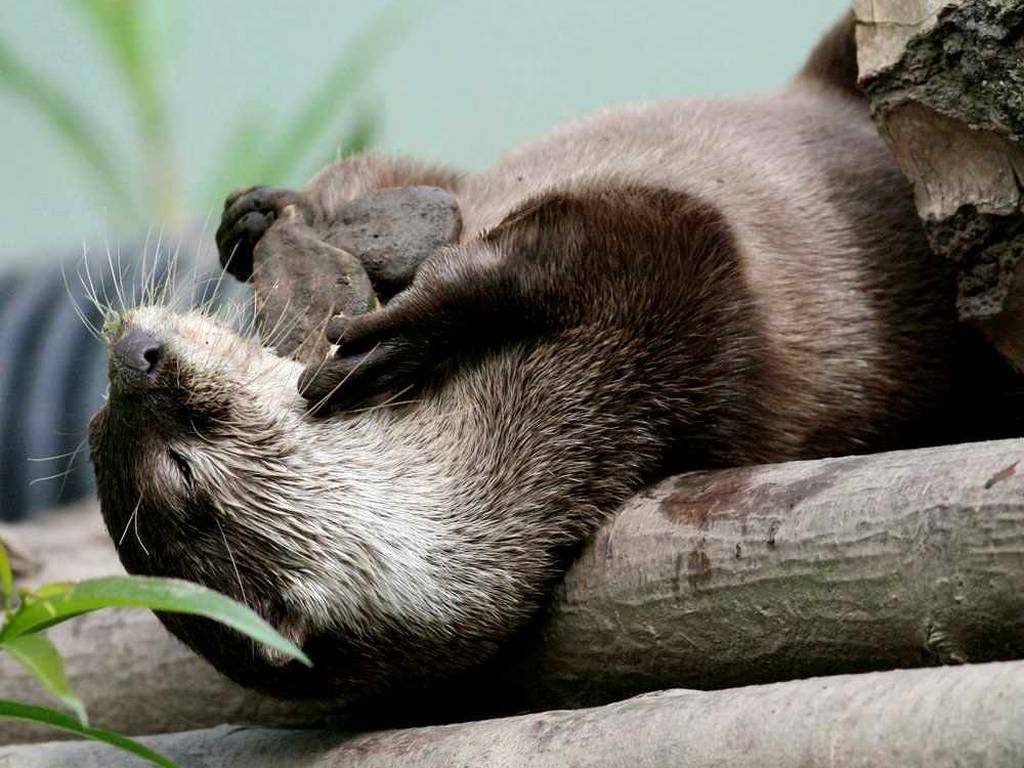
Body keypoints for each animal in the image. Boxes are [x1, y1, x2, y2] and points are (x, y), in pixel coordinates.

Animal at [90, 16, 1015, 704]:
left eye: (101, 418)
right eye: (182, 475)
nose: (134, 352)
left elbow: (411, 178)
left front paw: (271, 220)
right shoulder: (662, 347)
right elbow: (648, 237)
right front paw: (416, 324)